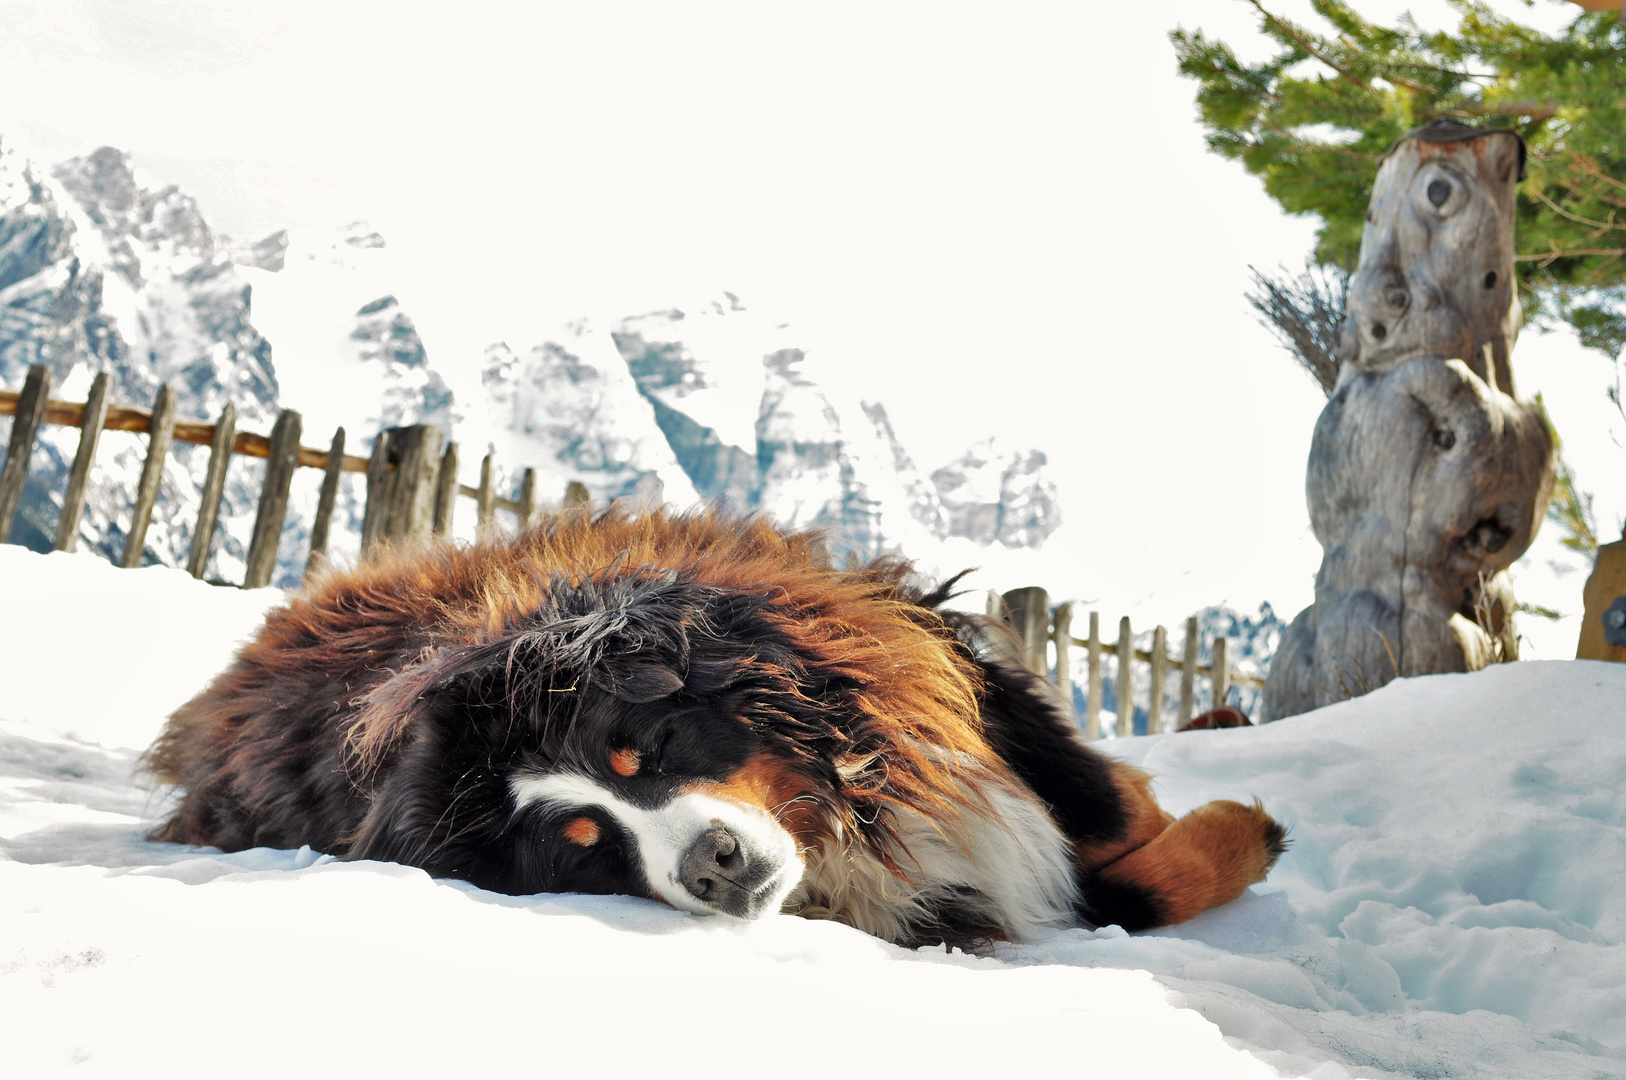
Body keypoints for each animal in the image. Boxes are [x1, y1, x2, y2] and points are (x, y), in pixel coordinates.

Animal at [146, 507, 1287, 943]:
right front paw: (1242, 831)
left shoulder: (937, 679)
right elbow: (1124, 886)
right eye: (584, 845)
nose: (712, 868)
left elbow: (1100, 806)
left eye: (646, 749)